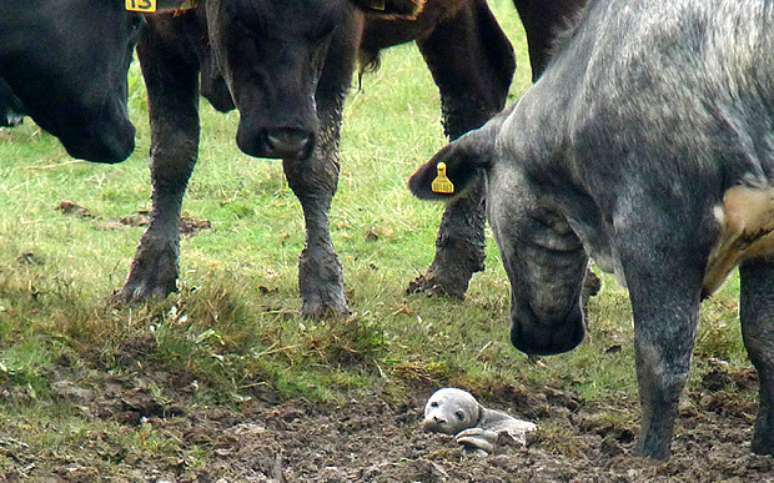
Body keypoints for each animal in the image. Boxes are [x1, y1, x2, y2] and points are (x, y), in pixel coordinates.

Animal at [113, 0, 588, 318]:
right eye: (241, 19)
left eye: (323, 29)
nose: (285, 136)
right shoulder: (158, 36)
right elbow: (172, 153)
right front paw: (147, 279)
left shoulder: (342, 45)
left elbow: (315, 169)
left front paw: (324, 292)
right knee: (476, 87)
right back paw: (445, 273)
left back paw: (572, 284)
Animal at [416, 0, 774, 462]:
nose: (541, 339)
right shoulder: (763, 237)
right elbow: (764, 341)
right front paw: (763, 447)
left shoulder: (656, 231)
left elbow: (661, 358)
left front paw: (650, 458)